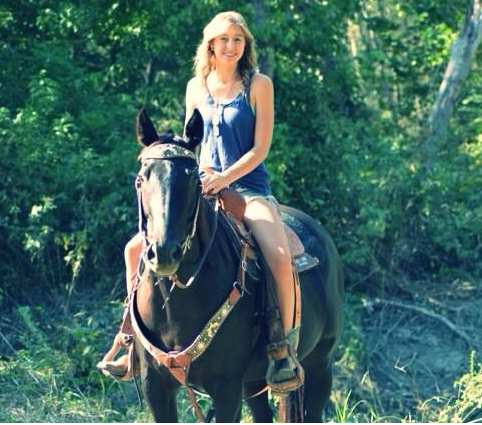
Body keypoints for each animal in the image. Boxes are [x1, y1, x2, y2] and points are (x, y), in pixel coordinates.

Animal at [132, 109, 342, 420]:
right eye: (140, 180)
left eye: (194, 182)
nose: (163, 252)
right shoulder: (155, 385)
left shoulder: (226, 388)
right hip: (254, 381)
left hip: (320, 364)